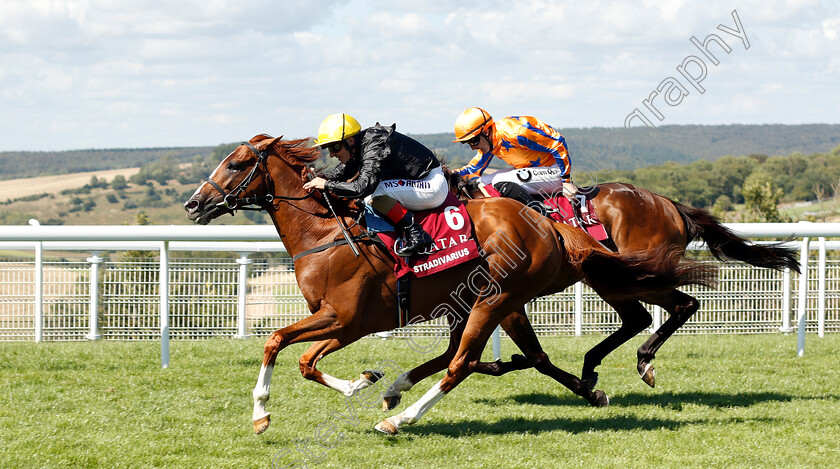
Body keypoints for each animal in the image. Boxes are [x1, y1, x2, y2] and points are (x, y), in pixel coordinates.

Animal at [184, 133, 716, 434]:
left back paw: (400, 419)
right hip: (503, 297)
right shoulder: (341, 320)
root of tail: (545, 224)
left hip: (502, 297)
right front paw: (362, 381)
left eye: (236, 164)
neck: (327, 234)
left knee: (461, 363)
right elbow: (302, 358)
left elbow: (278, 341)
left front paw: (262, 412)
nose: (193, 205)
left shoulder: (347, 318)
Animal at [446, 171, 800, 388]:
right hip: (613, 278)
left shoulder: (503, 296)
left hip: (631, 275)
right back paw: (595, 366)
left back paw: (640, 362)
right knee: (642, 317)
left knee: (676, 306)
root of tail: (671, 205)